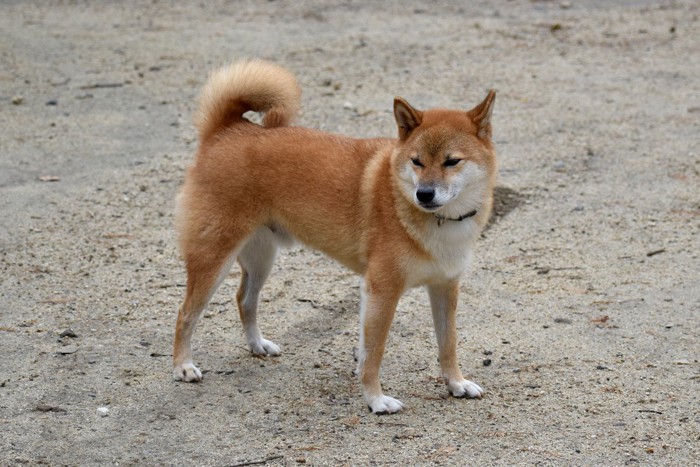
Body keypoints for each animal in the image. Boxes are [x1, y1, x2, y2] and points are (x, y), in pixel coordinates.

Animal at [172, 58, 494, 414]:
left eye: (452, 162)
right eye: (417, 162)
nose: (424, 194)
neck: (439, 221)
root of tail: (226, 130)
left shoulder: (444, 287)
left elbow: (447, 344)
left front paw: (456, 383)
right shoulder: (382, 291)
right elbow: (374, 354)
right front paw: (376, 400)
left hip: (261, 259)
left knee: (245, 300)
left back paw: (257, 345)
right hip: (214, 259)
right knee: (185, 313)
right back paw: (183, 366)